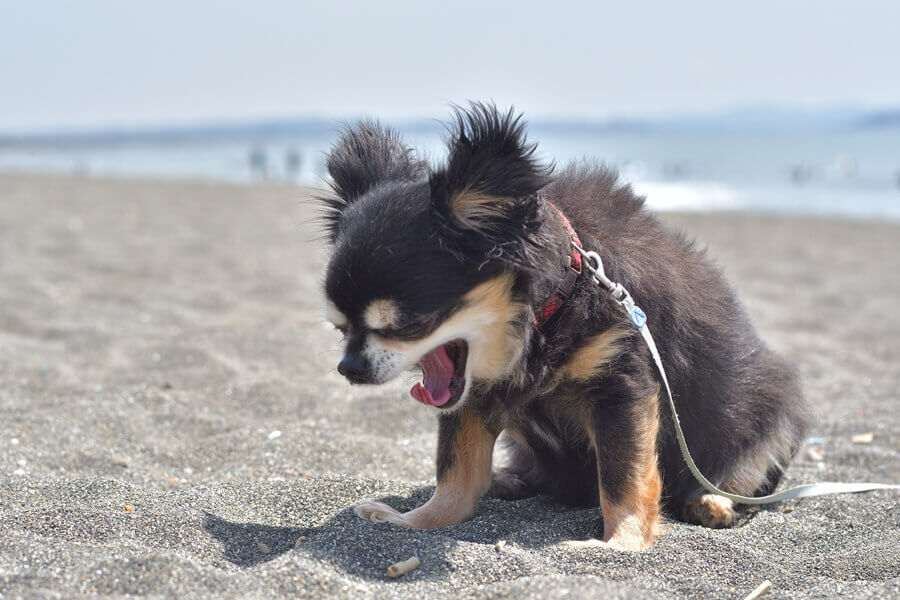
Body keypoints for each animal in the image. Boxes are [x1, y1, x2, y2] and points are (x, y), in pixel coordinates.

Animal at [320, 102, 812, 548]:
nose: (348, 368)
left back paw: (714, 503)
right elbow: (455, 473)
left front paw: (620, 545)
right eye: (339, 327)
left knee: (742, 473)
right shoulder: (471, 394)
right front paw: (414, 523)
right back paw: (510, 480)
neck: (549, 309)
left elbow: (623, 477)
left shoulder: (620, 387)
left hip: (776, 407)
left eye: (407, 324)